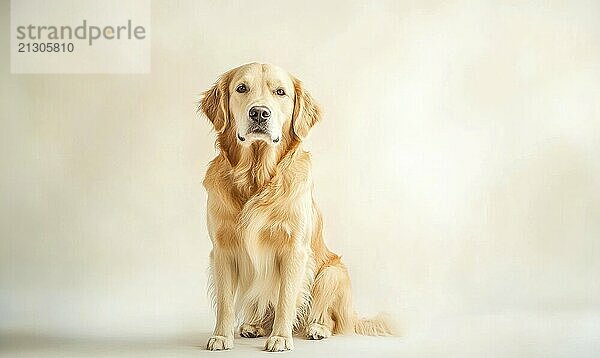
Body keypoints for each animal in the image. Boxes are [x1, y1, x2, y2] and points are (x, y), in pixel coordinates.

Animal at [199, 63, 392, 352]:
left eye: (280, 92)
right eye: (241, 88)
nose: (259, 113)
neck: (256, 178)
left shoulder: (295, 251)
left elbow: (286, 299)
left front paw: (280, 337)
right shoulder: (222, 249)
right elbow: (225, 302)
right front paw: (222, 337)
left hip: (332, 273)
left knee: (329, 317)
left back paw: (317, 327)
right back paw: (254, 325)